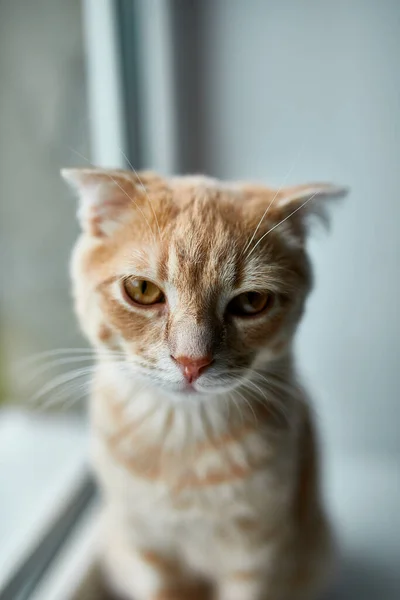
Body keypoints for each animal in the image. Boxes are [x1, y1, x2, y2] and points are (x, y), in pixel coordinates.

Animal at [61, 169, 346, 600]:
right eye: (142, 290)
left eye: (252, 302)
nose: (191, 361)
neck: (184, 440)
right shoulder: (149, 551)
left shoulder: (256, 555)